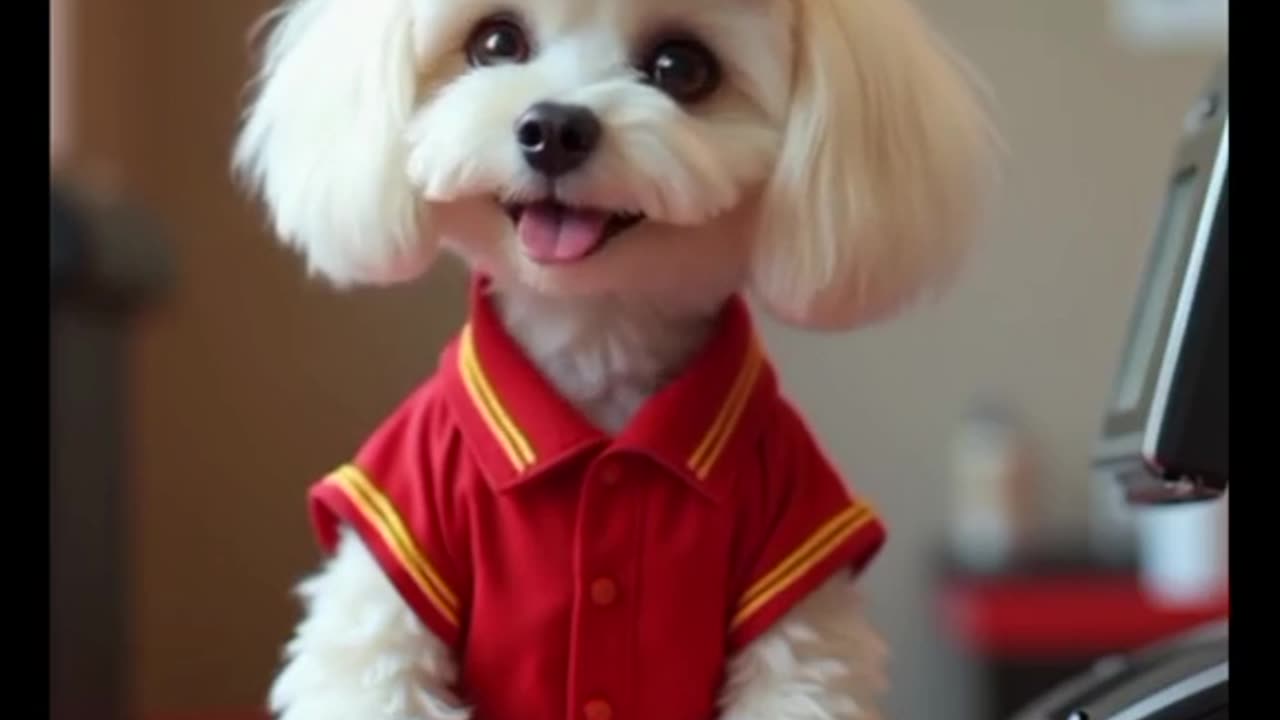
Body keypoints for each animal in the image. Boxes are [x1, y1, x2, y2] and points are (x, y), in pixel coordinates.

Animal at [232, 0, 988, 712]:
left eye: (682, 67)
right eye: (495, 42)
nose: (553, 128)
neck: (598, 342)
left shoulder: (798, 542)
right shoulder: (401, 516)